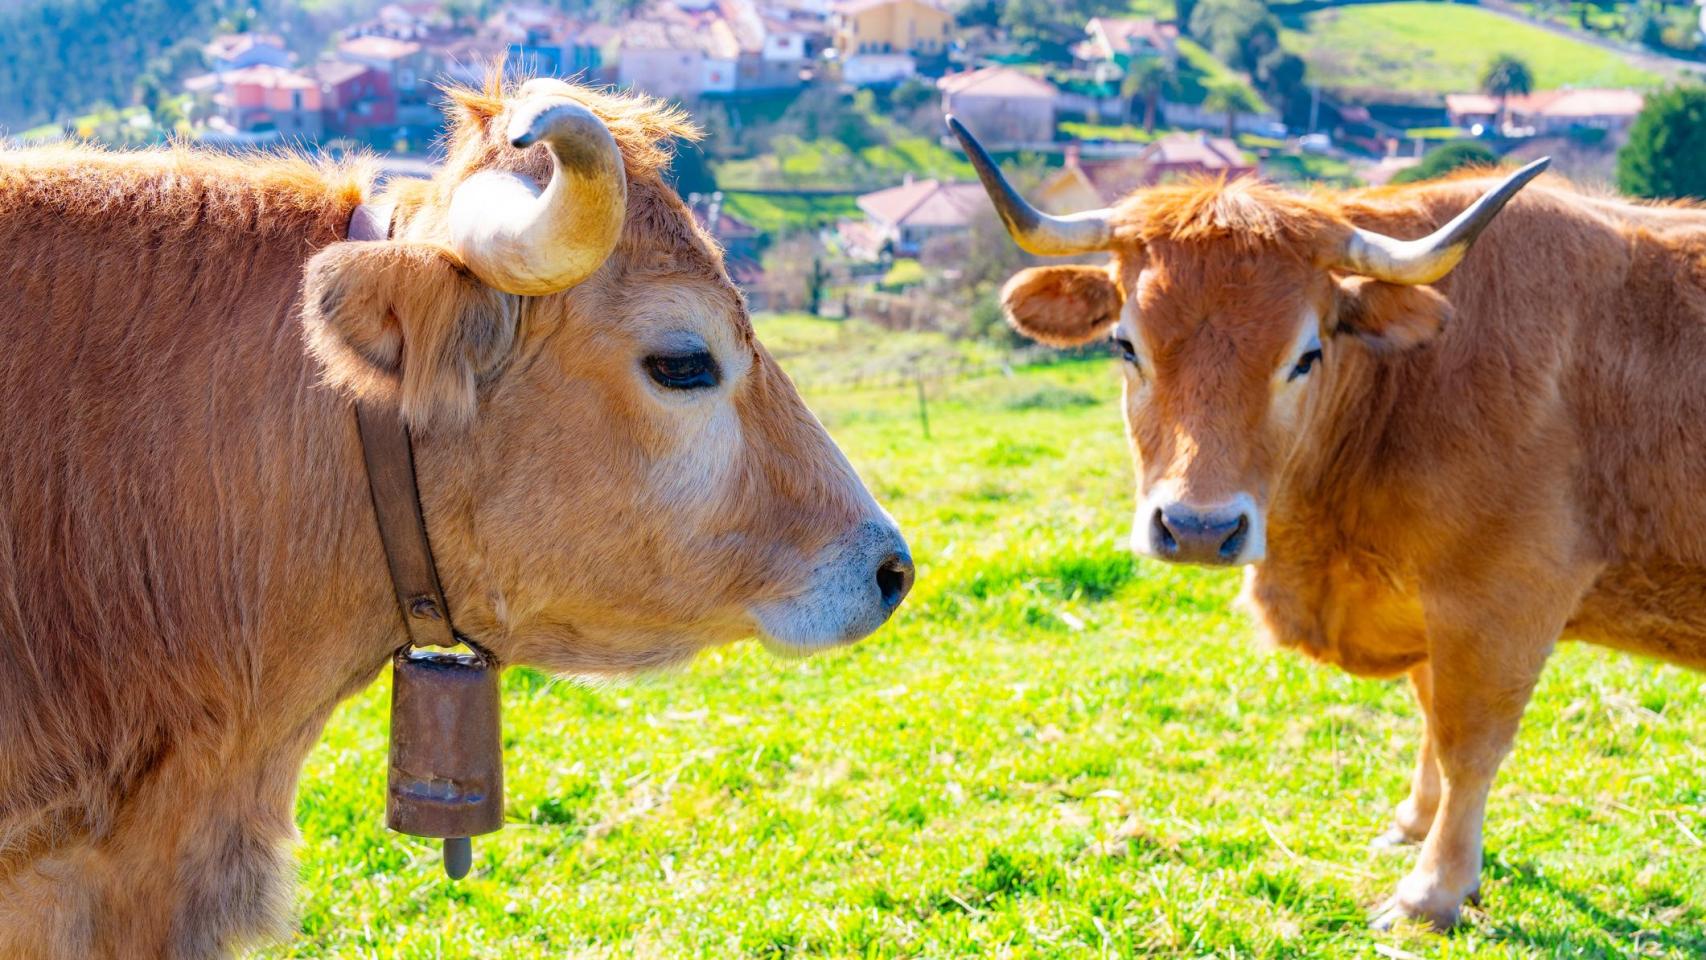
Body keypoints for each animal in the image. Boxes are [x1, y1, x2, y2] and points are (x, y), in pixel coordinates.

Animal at [950, 116, 1706, 930]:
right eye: (1125, 345)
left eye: (1306, 355)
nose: (1196, 528)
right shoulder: (1431, 607)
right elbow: (1429, 714)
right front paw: (1411, 825)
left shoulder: (1503, 601)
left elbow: (1467, 744)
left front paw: (1433, 890)